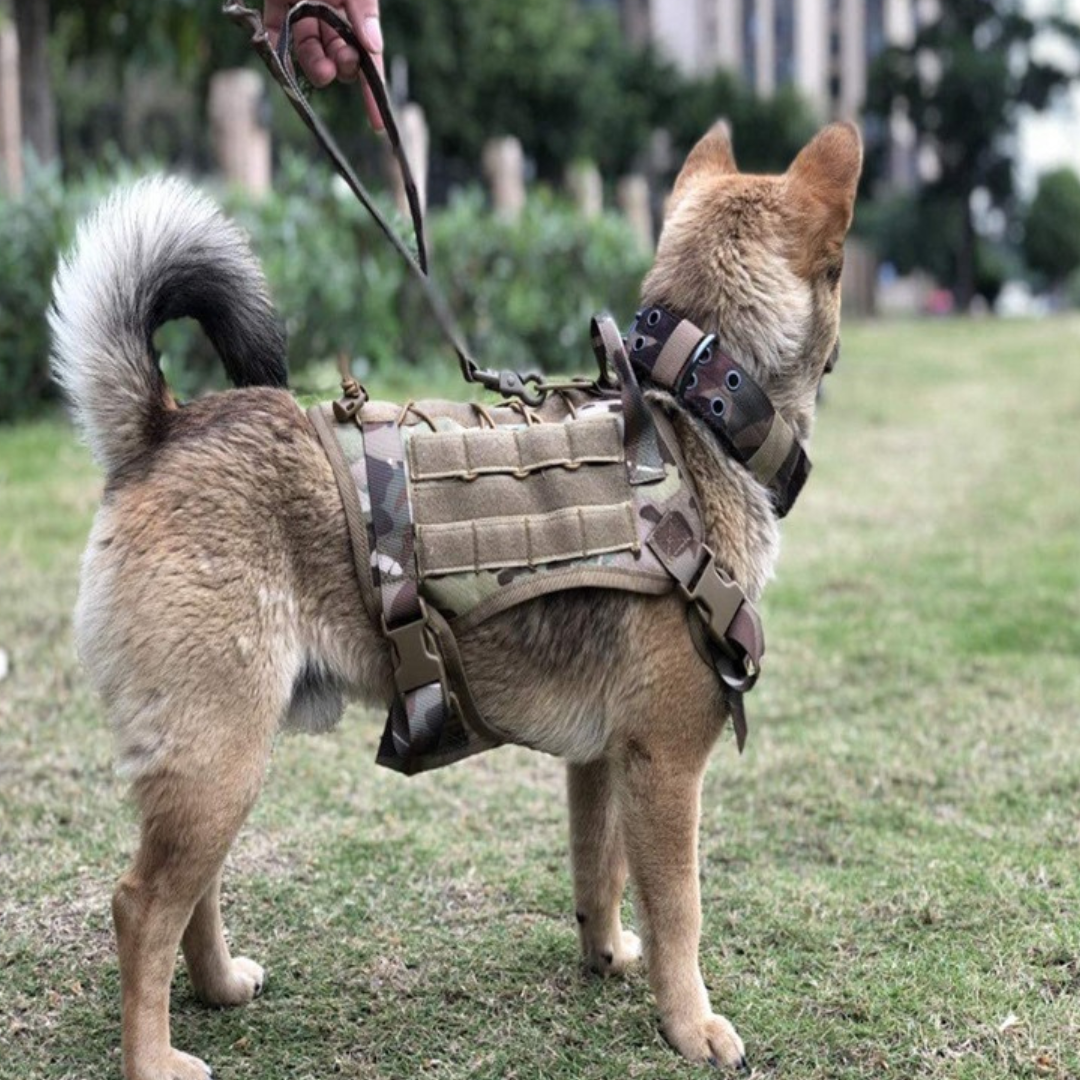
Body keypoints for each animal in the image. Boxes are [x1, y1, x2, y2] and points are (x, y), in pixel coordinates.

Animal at [48, 120, 859, 1080]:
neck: (694, 408)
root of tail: (164, 426)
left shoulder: (601, 761)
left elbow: (599, 870)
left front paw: (607, 956)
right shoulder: (664, 766)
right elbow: (680, 909)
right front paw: (690, 1024)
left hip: (221, 763)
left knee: (191, 892)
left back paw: (215, 986)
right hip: (218, 759)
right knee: (140, 907)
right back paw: (152, 1056)